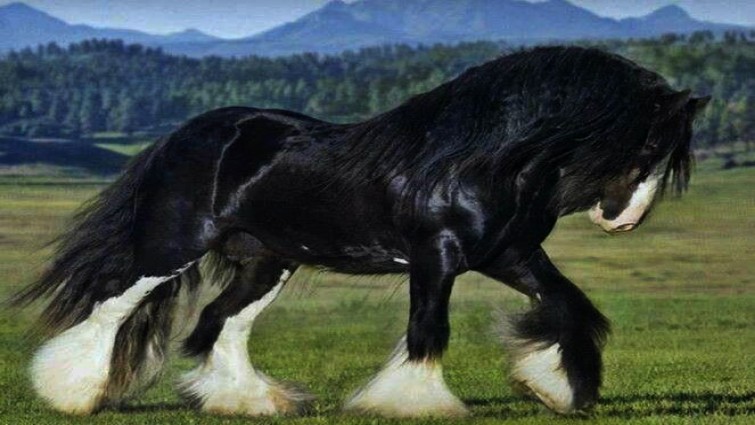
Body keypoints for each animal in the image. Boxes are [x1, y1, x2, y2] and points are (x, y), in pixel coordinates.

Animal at [14, 46, 709, 417]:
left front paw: (556, 387)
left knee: (222, 323)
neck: (484, 158)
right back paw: (71, 393)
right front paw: (410, 402)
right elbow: (428, 330)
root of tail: (184, 137)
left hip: (267, 260)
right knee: (113, 308)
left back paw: (249, 400)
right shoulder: (438, 257)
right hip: (173, 246)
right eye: (648, 144)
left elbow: (570, 306)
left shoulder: (509, 254)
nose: (621, 220)